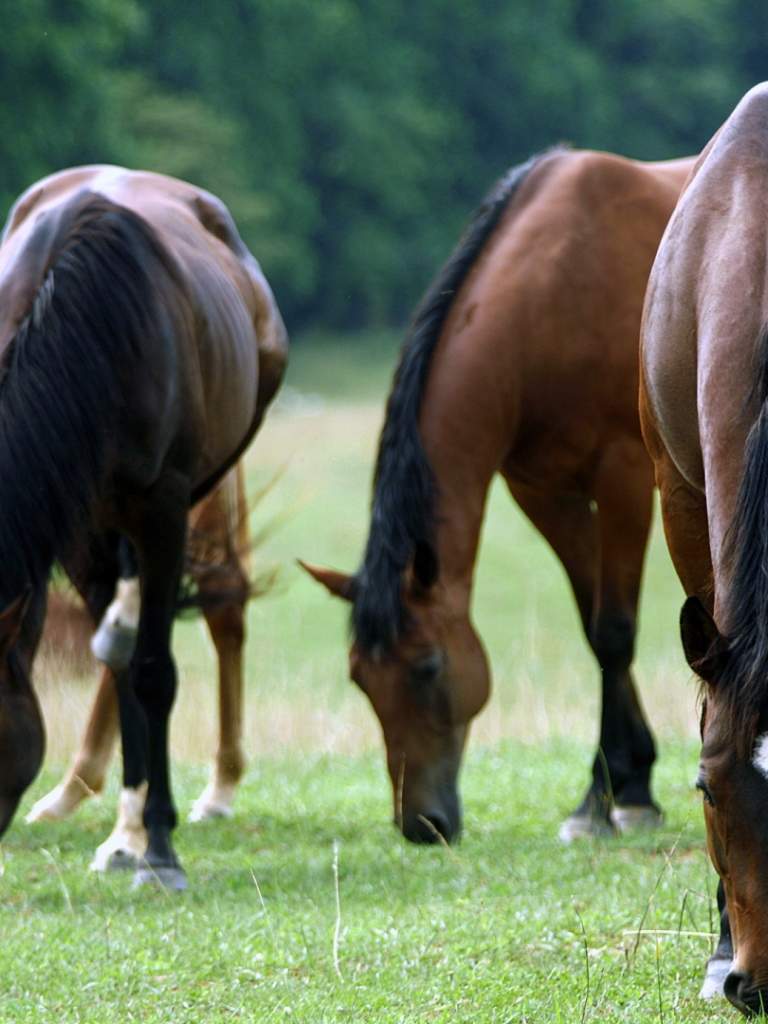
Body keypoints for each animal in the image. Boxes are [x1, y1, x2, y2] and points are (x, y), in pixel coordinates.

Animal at [301, 145, 695, 846]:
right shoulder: (545, 493)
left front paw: (604, 800)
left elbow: (615, 632)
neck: (554, 295)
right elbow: (593, 628)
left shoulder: (623, 478)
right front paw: (629, 783)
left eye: (428, 667)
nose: (421, 824)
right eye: (359, 679)